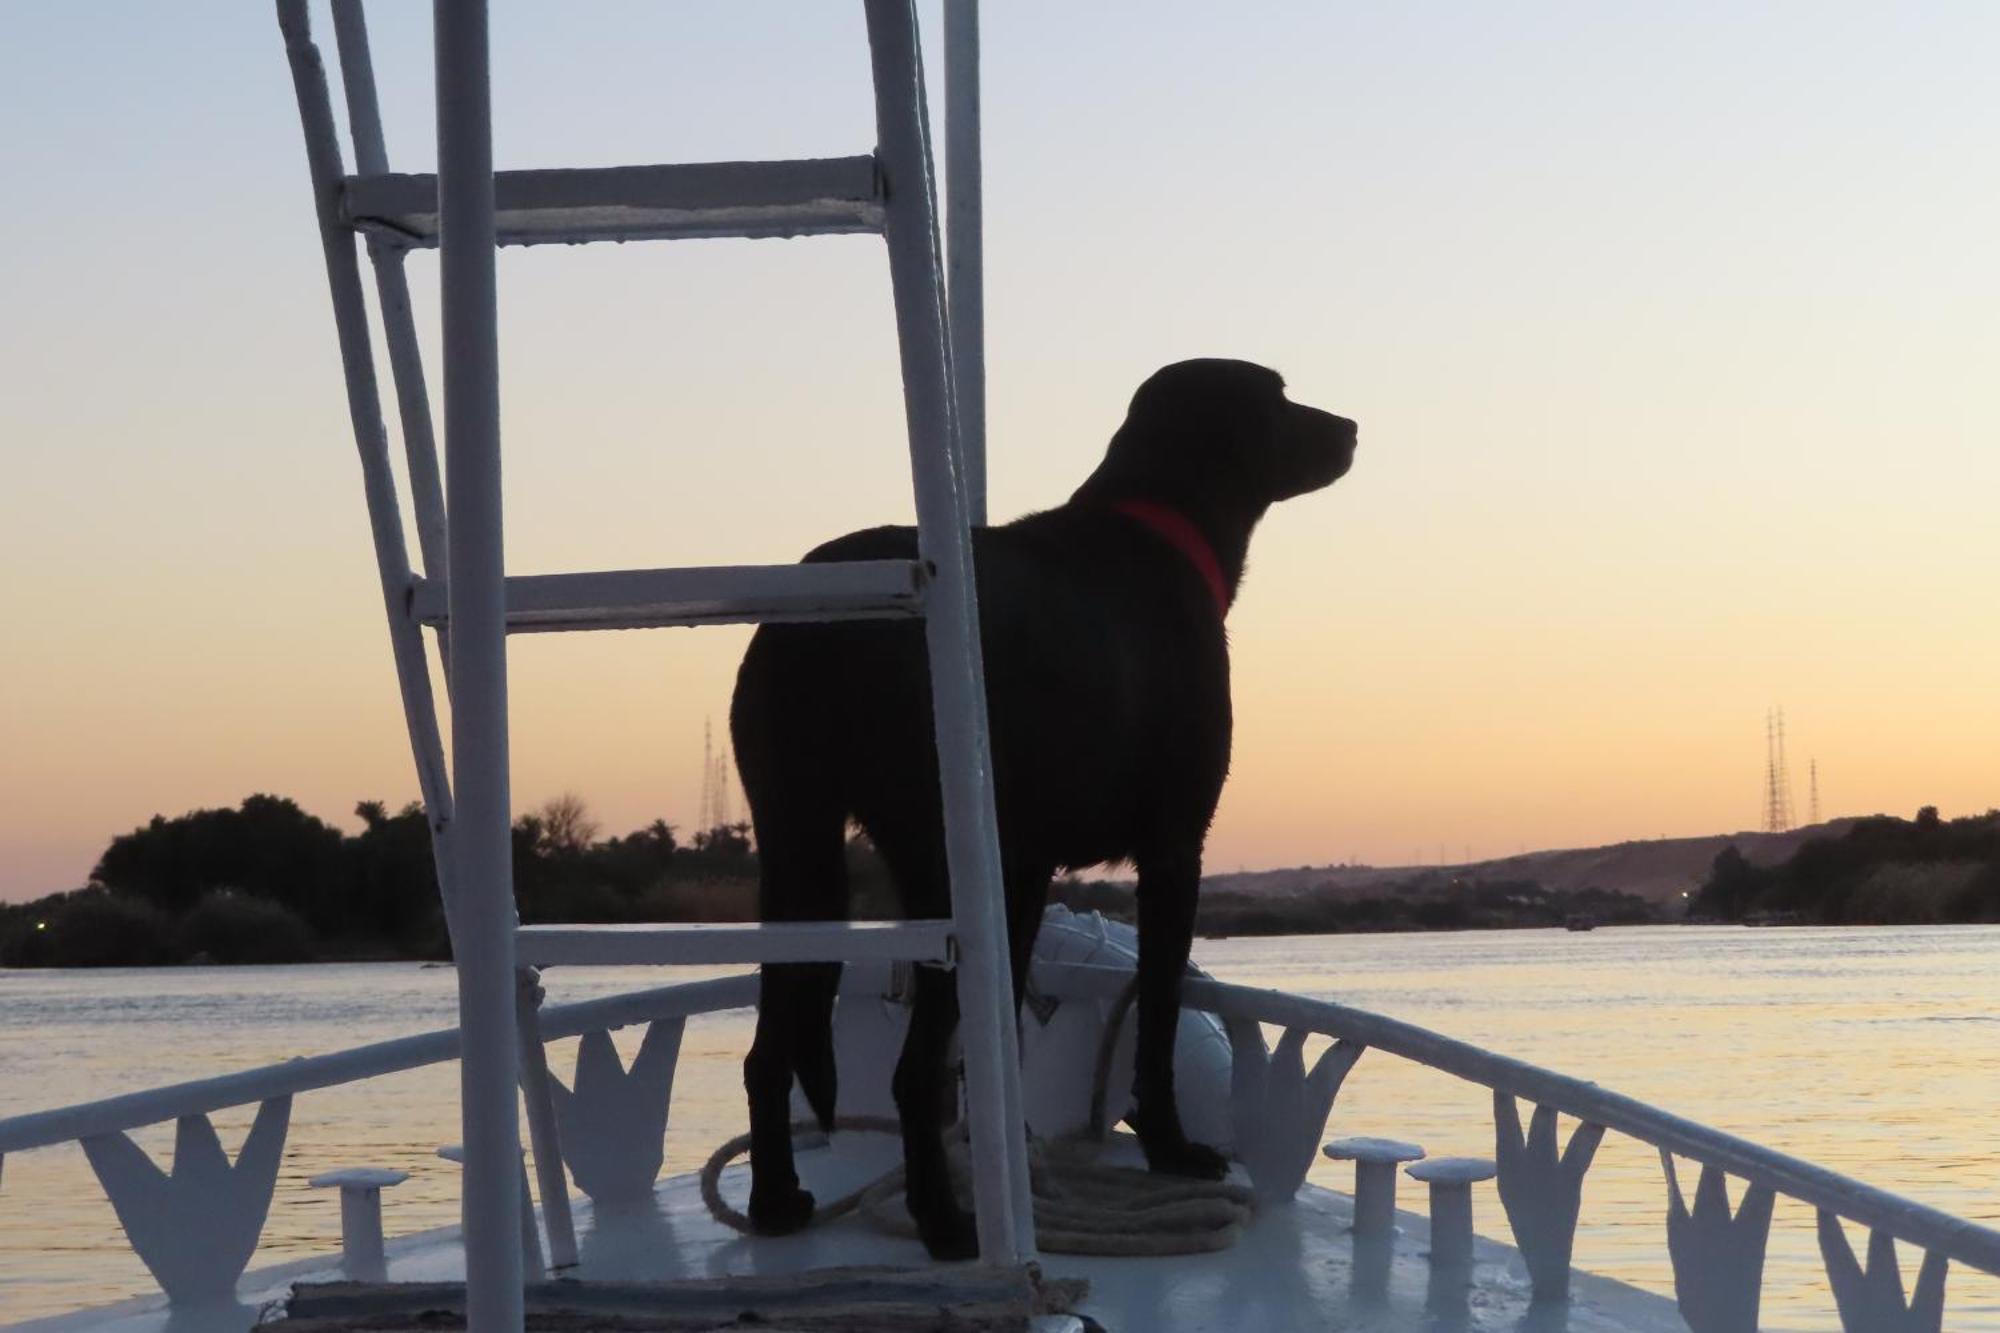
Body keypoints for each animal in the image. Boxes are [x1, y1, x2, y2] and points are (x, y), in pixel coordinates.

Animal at [728, 356, 1352, 1256]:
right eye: (1276, 396)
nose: (1352, 429)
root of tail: (825, 625)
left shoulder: (1024, 872)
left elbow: (1004, 1048)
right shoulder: (1173, 848)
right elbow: (1159, 1012)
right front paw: (1171, 1147)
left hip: (797, 847)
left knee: (770, 1048)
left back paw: (778, 1200)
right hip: (933, 868)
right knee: (911, 1070)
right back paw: (944, 1221)